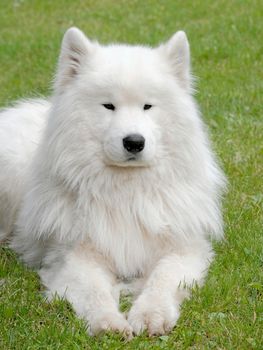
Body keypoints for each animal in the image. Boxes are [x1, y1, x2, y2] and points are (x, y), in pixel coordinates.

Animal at [0, 28, 227, 338]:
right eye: (108, 106)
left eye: (147, 106)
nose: (134, 142)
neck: (126, 190)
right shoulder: (74, 255)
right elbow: (94, 291)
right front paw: (108, 323)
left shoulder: (183, 249)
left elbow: (162, 279)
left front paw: (150, 315)